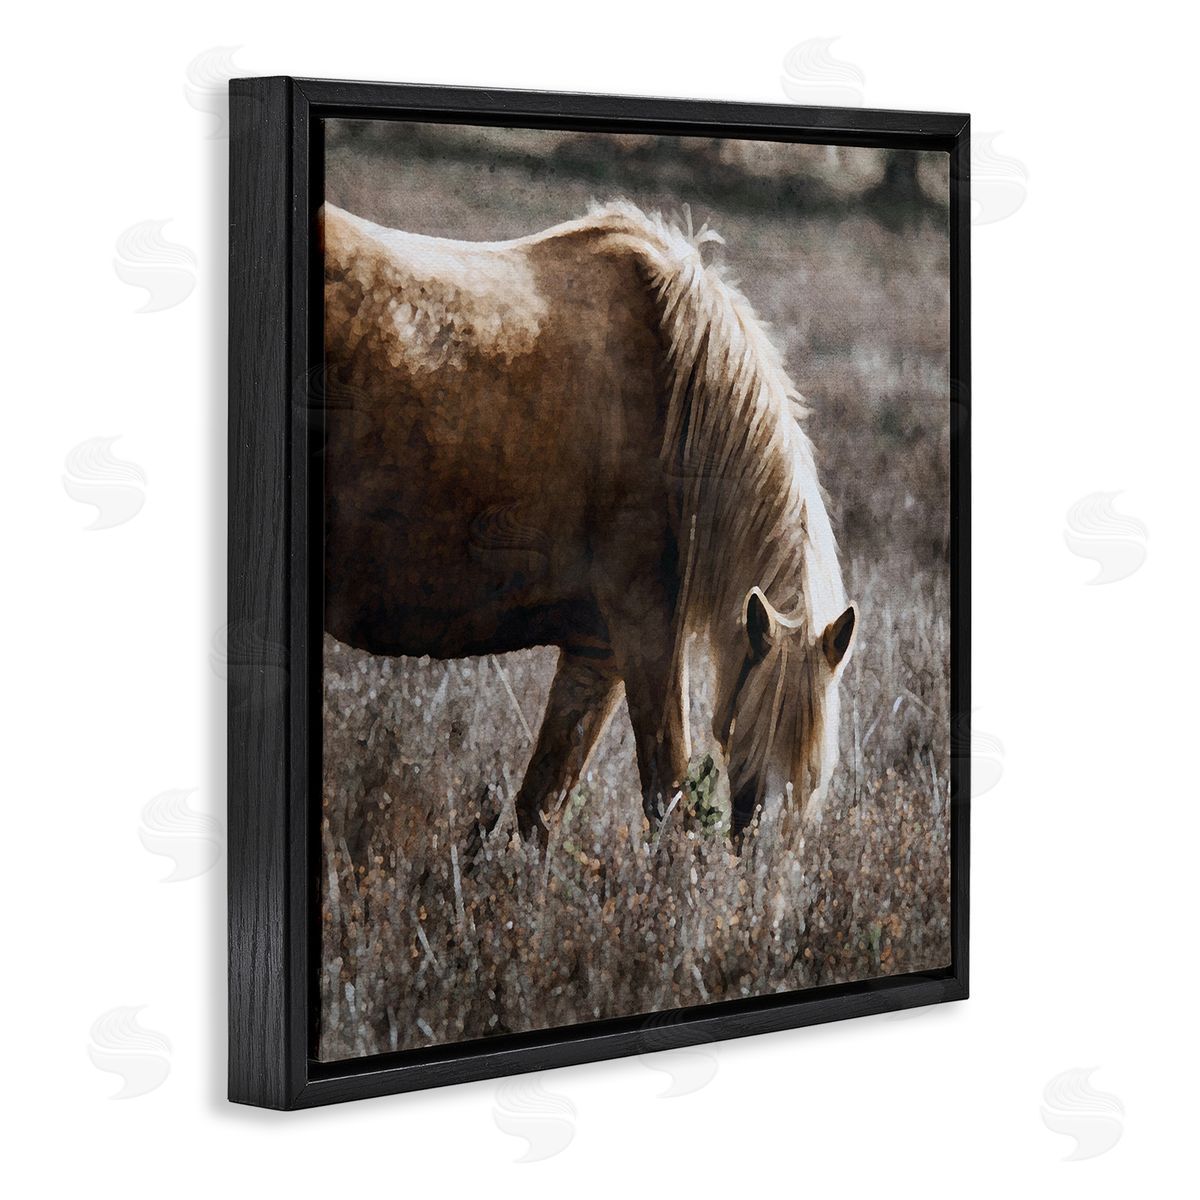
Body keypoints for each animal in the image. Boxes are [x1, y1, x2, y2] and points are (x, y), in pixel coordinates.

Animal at [320, 198, 857, 846]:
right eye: (756, 749)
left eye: (814, 780)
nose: (767, 871)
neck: (675, 393)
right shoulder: (645, 637)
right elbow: (667, 795)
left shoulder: (595, 655)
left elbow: (540, 807)